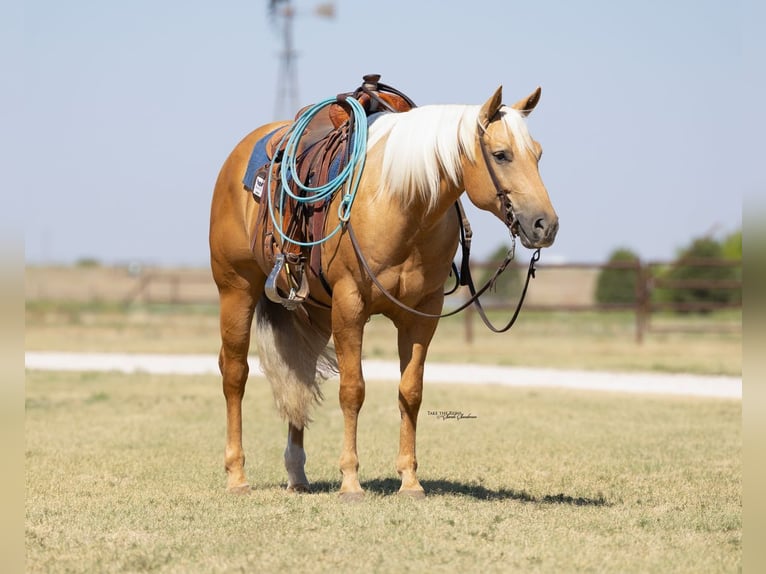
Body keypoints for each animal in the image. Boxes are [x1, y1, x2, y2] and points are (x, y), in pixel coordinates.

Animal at [209, 82, 559, 499]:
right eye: (501, 154)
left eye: (538, 154)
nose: (546, 225)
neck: (402, 202)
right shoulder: (350, 307)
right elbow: (352, 390)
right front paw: (350, 482)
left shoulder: (423, 314)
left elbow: (411, 391)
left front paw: (410, 481)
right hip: (236, 290)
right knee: (235, 374)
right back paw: (236, 476)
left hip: (315, 311)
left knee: (301, 373)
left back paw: (297, 475)